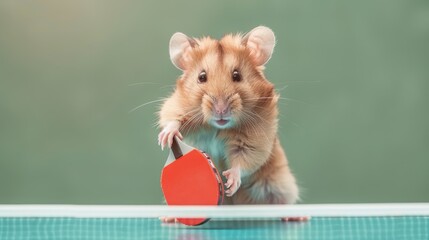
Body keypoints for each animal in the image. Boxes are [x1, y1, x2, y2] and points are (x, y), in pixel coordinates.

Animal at [156, 25, 298, 206]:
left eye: (237, 75)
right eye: (201, 77)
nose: (221, 110)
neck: (218, 127)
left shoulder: (256, 139)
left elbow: (243, 160)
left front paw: (230, 183)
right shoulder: (177, 104)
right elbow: (172, 118)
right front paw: (166, 137)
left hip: (278, 184)